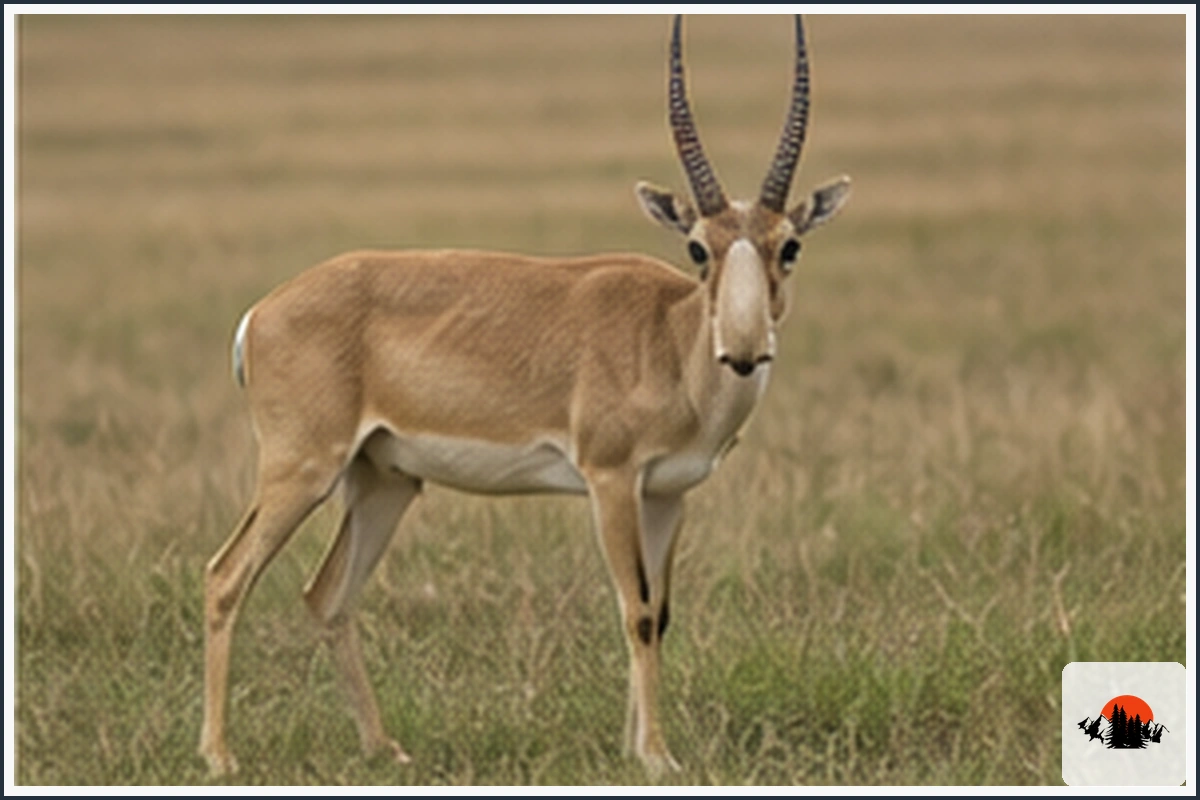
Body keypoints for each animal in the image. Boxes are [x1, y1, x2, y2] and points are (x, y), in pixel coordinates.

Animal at [200, 14, 850, 776]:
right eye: (698, 247)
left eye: (789, 245)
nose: (745, 352)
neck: (673, 338)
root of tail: (262, 312)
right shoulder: (610, 481)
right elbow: (633, 609)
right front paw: (657, 758)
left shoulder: (667, 495)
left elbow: (657, 613)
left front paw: (634, 747)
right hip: (302, 471)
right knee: (225, 576)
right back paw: (220, 758)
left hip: (384, 482)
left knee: (328, 596)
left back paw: (385, 749)